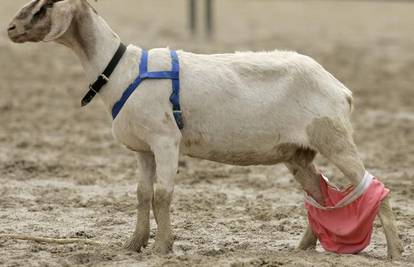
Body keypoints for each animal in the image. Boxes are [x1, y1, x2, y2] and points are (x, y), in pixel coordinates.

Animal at [6, 0, 402, 260]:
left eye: (45, 5)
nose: (10, 29)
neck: (120, 68)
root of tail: (342, 89)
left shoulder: (166, 140)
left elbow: (162, 195)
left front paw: (163, 247)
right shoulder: (144, 149)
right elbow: (142, 194)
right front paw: (134, 245)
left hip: (334, 137)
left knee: (375, 187)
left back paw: (395, 251)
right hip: (298, 153)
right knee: (319, 194)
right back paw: (303, 249)